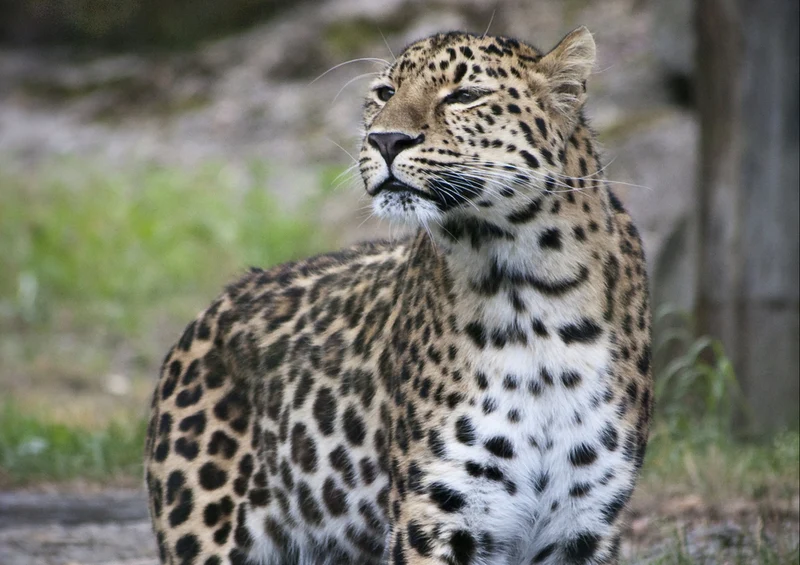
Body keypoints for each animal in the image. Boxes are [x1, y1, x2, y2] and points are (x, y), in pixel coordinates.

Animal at [145, 26, 653, 565]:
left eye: (465, 96)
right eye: (385, 93)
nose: (385, 139)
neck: (530, 289)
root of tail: (211, 309)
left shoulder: (585, 523)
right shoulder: (437, 512)